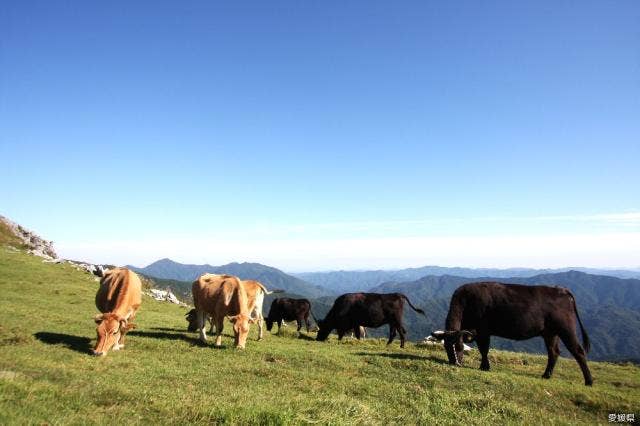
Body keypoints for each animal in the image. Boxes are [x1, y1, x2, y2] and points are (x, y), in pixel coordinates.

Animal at [432, 282, 592, 386]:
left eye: (459, 346)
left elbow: (484, 349)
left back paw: (588, 381)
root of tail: (561, 289)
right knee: (554, 352)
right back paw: (546, 375)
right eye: (445, 347)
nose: (454, 363)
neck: (466, 302)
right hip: (550, 333)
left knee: (578, 351)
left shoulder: (483, 330)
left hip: (566, 329)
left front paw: (484, 367)